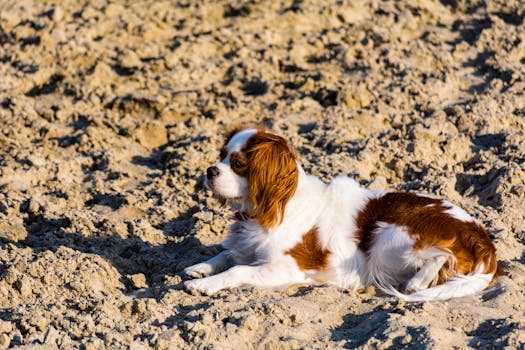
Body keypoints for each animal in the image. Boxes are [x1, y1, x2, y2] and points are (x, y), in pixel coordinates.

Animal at [184, 126, 500, 300]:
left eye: (237, 163)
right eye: (221, 155)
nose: (210, 170)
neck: (266, 209)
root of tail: (482, 238)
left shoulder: (287, 267)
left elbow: (238, 269)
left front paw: (203, 284)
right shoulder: (246, 247)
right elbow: (228, 254)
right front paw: (200, 267)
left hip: (386, 238)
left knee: (439, 257)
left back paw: (417, 282)